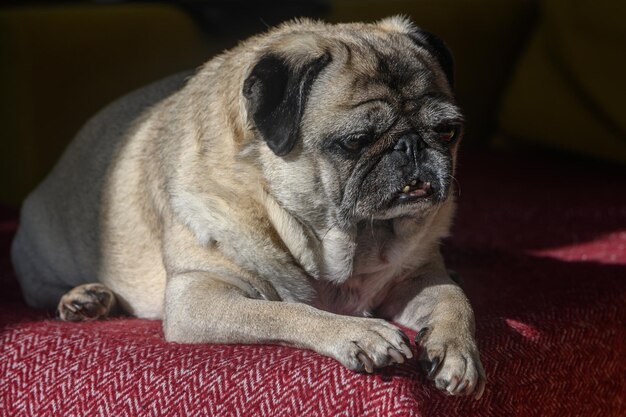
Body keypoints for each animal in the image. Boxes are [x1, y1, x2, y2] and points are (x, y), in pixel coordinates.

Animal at [12, 17, 486, 396]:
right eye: (355, 141)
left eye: (447, 132)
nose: (411, 146)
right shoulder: (197, 295)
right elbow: (286, 310)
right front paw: (357, 331)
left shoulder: (415, 275)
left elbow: (453, 297)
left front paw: (457, 350)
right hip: (40, 249)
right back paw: (84, 299)